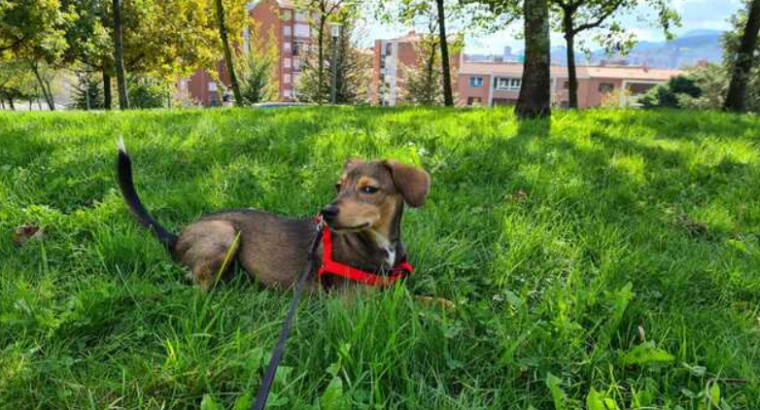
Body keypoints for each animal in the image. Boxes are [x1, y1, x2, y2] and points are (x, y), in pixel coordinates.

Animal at [116, 141, 430, 292]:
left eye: (369, 189)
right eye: (338, 187)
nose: (326, 212)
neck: (379, 243)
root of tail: (177, 236)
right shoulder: (355, 302)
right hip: (225, 234)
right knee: (196, 284)